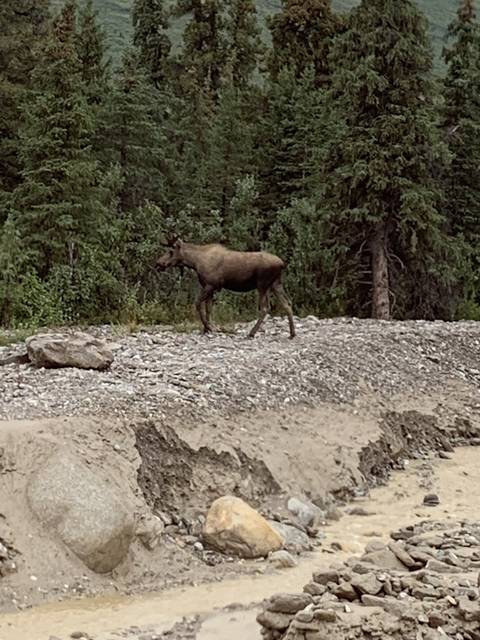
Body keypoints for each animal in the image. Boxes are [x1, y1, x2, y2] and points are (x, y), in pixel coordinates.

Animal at [156, 239, 296, 339]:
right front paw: (207, 329)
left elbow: (197, 304)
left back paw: (251, 333)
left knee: (266, 308)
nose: (158, 263)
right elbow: (209, 308)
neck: (195, 262)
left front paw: (208, 327)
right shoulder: (211, 287)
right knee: (287, 303)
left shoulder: (210, 285)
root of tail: (282, 264)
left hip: (262, 285)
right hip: (276, 284)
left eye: (171, 251)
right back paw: (292, 333)